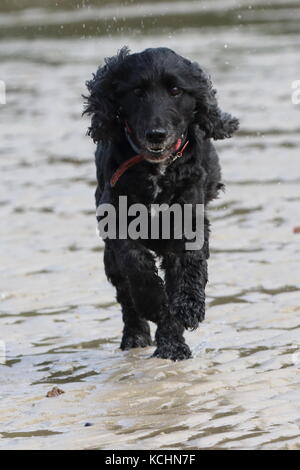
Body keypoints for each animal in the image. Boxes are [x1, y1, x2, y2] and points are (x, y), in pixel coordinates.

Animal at [83, 46, 238, 360]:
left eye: (176, 90)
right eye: (137, 91)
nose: (157, 135)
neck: (157, 171)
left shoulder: (188, 219)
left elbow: (188, 269)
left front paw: (188, 311)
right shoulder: (117, 221)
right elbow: (136, 265)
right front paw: (153, 302)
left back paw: (171, 346)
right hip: (109, 260)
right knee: (126, 298)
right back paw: (135, 336)